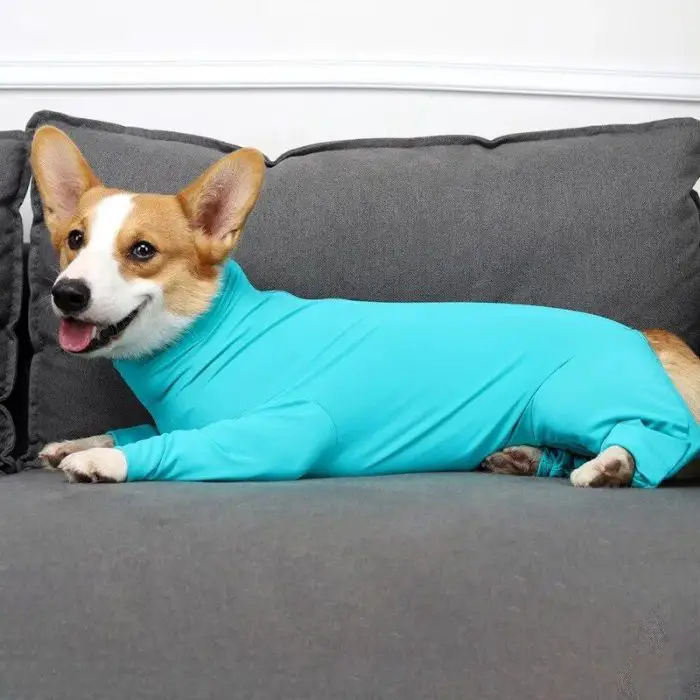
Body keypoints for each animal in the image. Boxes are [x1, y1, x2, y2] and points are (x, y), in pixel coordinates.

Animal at [30, 126, 700, 486]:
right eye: (75, 240)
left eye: (142, 251)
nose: (67, 293)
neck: (210, 329)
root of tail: (649, 336)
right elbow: (141, 428)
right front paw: (80, 441)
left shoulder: (289, 431)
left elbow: (174, 444)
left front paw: (101, 460)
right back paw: (525, 457)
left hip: (570, 396)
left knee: (670, 439)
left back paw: (614, 465)